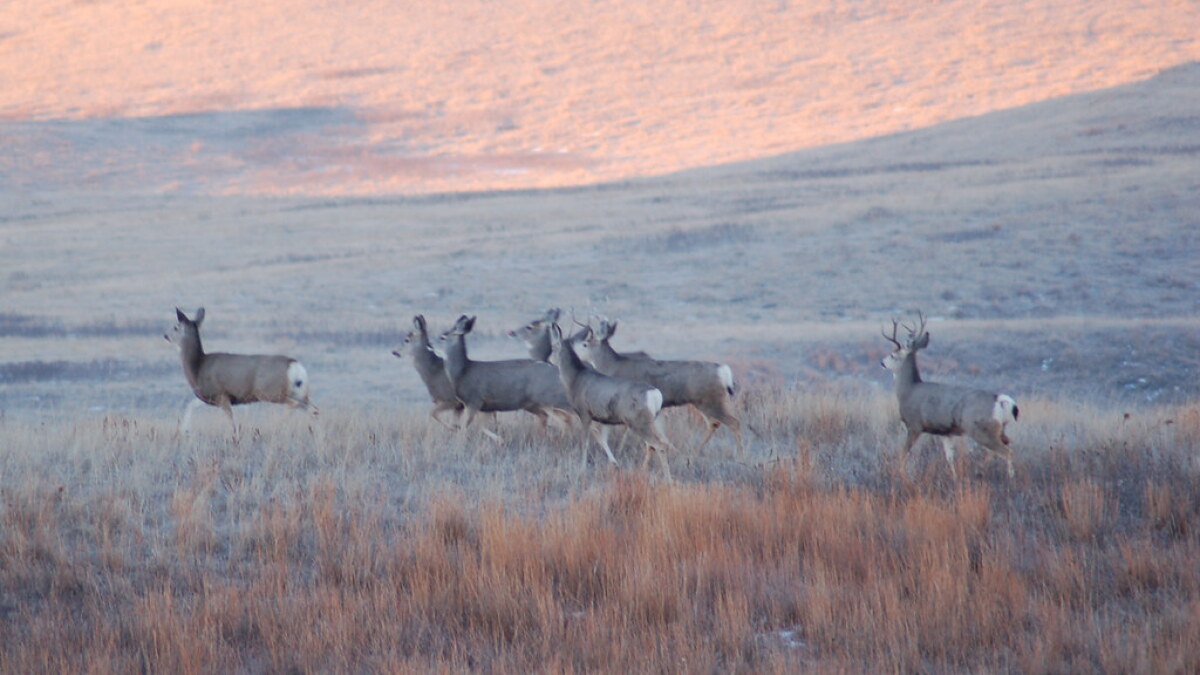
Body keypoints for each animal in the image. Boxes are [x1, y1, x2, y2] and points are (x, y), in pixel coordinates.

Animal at [164, 307, 317, 439]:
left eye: (176, 327)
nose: (165, 335)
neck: (198, 366)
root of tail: (295, 366)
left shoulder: (221, 395)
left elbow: (231, 421)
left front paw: (235, 438)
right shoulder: (211, 396)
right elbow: (191, 405)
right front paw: (184, 431)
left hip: (270, 391)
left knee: (293, 405)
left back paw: (277, 427)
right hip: (299, 392)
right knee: (313, 409)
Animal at [439, 315, 575, 441]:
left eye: (448, 333)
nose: (440, 336)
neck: (462, 372)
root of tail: (557, 370)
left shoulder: (473, 400)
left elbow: (464, 429)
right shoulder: (484, 407)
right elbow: (480, 426)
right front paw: (500, 440)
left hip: (550, 399)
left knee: (565, 419)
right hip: (536, 404)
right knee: (555, 418)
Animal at [548, 323, 677, 479]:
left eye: (553, 347)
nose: (548, 359)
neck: (575, 379)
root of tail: (655, 394)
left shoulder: (584, 413)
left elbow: (585, 442)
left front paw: (582, 468)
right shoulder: (605, 419)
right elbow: (603, 440)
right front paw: (615, 464)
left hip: (639, 421)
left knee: (659, 445)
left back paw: (667, 478)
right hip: (654, 420)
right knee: (661, 443)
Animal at [578, 317, 743, 453]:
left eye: (585, 344)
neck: (612, 365)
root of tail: (724, 371)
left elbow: (625, 429)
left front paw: (619, 450)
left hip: (711, 401)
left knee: (734, 422)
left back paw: (739, 457)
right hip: (705, 403)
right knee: (714, 424)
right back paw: (693, 453)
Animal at [880, 312, 1019, 479]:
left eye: (892, 355)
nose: (882, 362)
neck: (908, 390)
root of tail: (1001, 400)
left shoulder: (914, 425)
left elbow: (903, 453)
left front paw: (900, 474)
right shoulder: (946, 432)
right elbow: (949, 457)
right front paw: (954, 477)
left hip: (982, 430)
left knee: (1006, 452)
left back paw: (1008, 477)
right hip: (999, 429)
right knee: (1008, 445)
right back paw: (981, 469)